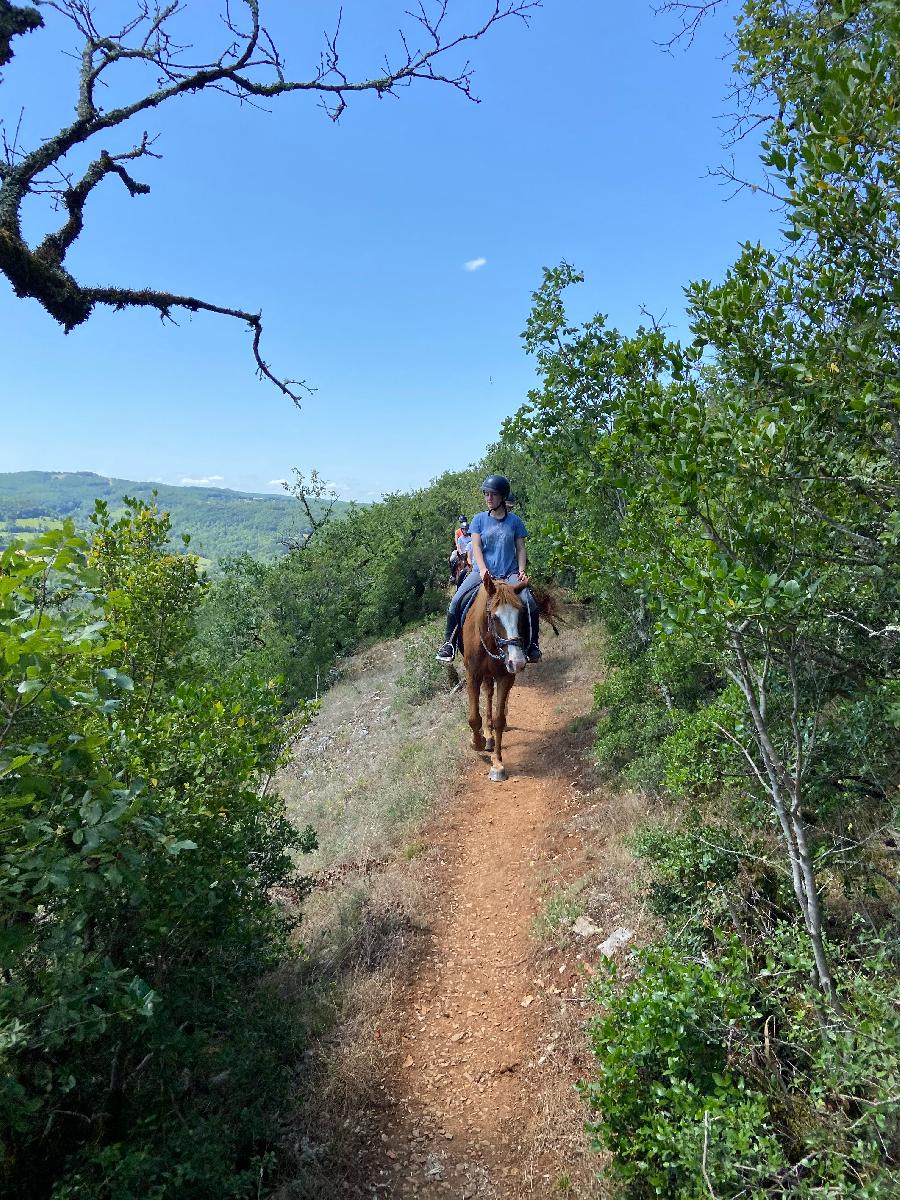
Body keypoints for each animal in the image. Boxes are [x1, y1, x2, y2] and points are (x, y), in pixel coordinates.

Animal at [465, 568, 556, 777]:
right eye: (494, 617)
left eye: (521, 615)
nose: (518, 661)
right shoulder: (472, 675)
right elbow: (474, 717)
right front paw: (477, 742)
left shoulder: (506, 676)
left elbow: (499, 719)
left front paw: (498, 764)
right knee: (488, 694)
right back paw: (486, 737)